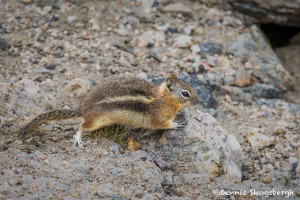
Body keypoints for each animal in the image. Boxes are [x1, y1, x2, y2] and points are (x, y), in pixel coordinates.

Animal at [20, 73, 199, 147]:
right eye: (185, 93)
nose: (198, 100)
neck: (164, 99)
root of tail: (83, 107)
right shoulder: (158, 117)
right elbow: (163, 125)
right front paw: (177, 123)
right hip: (97, 120)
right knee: (81, 126)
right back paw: (78, 139)